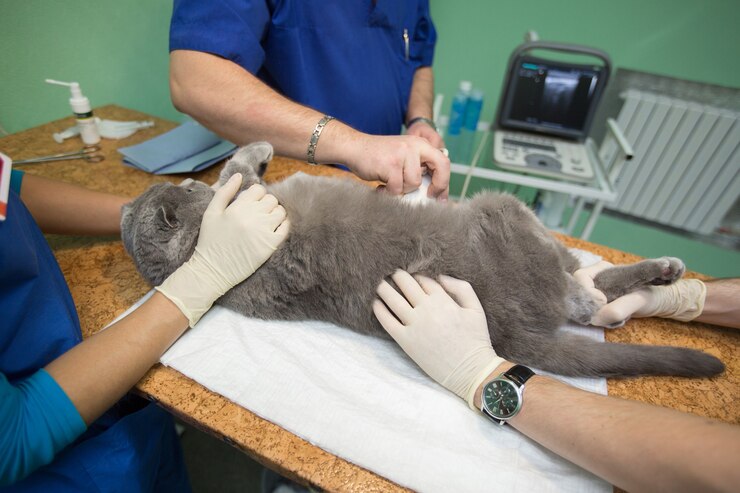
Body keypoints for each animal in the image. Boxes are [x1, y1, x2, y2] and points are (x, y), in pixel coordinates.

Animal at [121, 141, 724, 376]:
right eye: (184, 188)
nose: (128, 203)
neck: (195, 252)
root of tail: (509, 334)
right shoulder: (241, 195)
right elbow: (237, 167)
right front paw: (259, 151)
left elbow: (240, 165)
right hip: (504, 210)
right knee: (582, 294)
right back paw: (614, 284)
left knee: (589, 283)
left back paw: (664, 274)